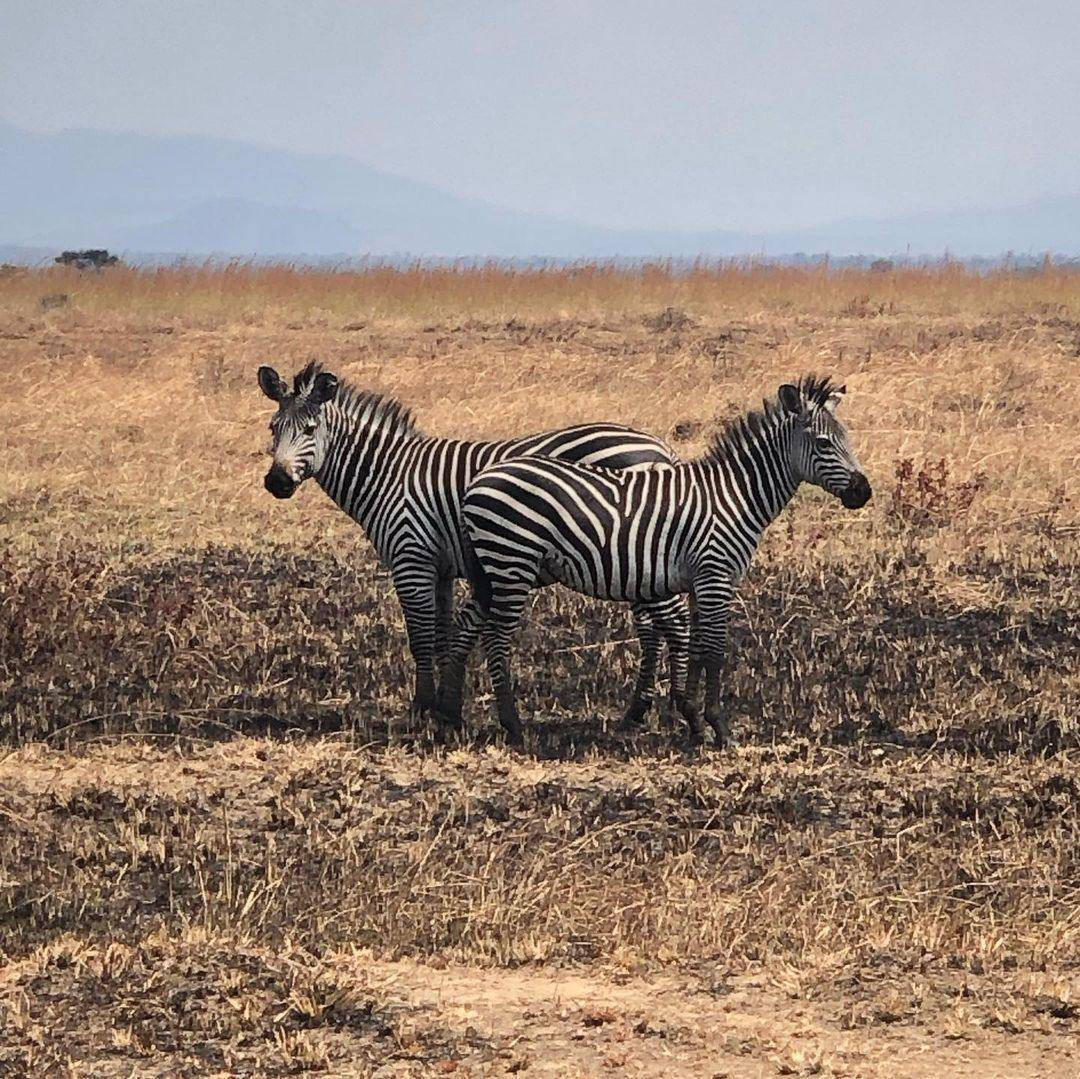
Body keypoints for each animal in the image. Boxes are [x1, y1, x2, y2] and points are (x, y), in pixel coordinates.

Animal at [257, 362, 686, 734]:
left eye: (310, 428)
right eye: (273, 427)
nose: (276, 483)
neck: (388, 475)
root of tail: (660, 448)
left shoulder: (411, 557)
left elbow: (420, 635)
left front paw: (422, 707)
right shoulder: (441, 568)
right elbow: (443, 634)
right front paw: (445, 707)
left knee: (660, 623)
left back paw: (653, 710)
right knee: (652, 626)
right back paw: (638, 712)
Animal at [460, 378, 872, 743]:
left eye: (848, 439)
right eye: (822, 443)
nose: (863, 492)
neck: (734, 497)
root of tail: (478, 481)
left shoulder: (700, 582)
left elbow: (697, 646)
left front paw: (694, 721)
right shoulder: (715, 576)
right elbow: (714, 651)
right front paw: (719, 727)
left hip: (499, 566)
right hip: (512, 562)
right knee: (497, 636)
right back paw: (513, 725)